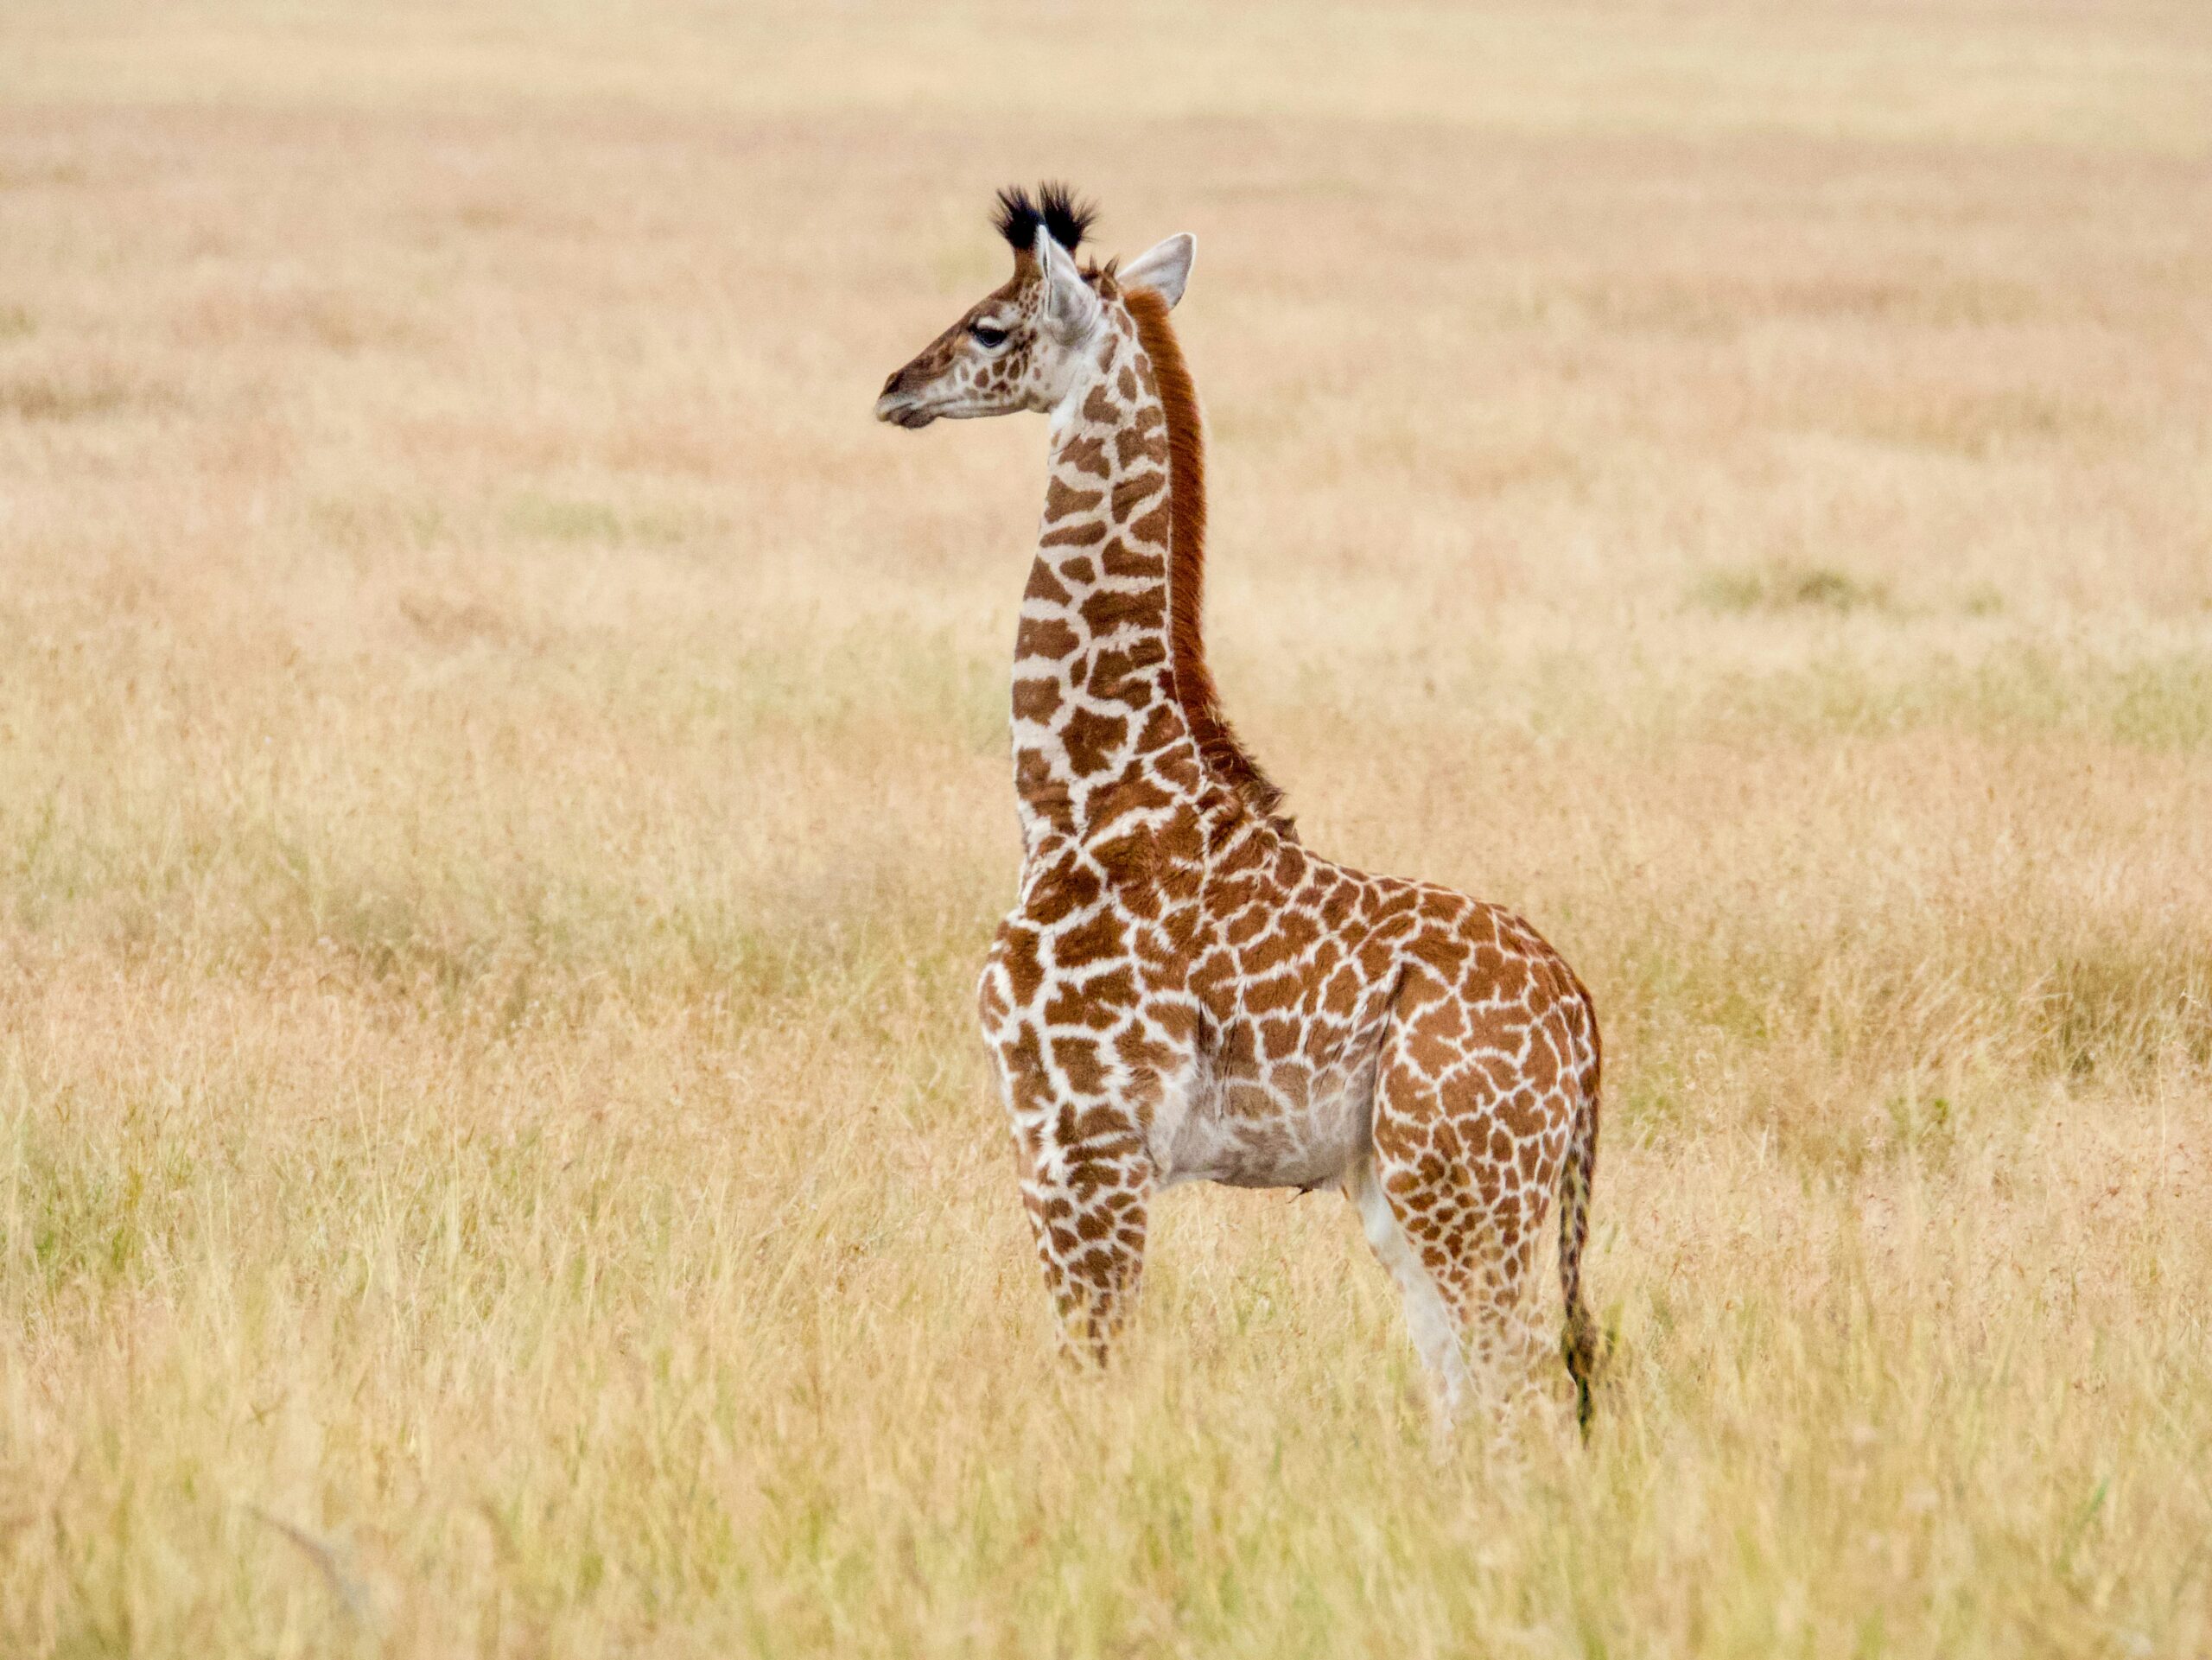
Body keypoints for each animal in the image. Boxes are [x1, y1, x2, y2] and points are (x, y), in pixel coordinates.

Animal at [874, 185, 1605, 1429]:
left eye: (988, 326)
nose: (893, 388)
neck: (1080, 794)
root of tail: (1584, 1020)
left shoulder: (1081, 1137)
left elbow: (1091, 1364)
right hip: (1407, 1191)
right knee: (1462, 1392)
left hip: (1468, 1186)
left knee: (1515, 1391)